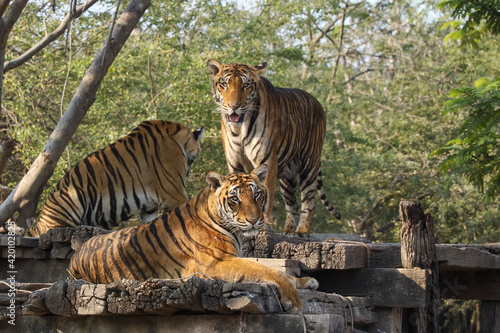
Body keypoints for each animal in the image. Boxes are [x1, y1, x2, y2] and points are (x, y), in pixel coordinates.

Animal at [68, 165, 318, 312]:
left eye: (257, 194)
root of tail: (77, 252)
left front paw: (306, 281)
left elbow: (276, 269)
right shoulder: (217, 262)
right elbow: (268, 271)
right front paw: (294, 299)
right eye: (235, 199)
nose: (255, 220)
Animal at [206, 60, 340, 236]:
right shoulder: (235, 163)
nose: (233, 106)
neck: (239, 128)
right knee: (292, 205)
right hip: (287, 178)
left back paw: (302, 230)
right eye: (224, 84)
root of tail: (317, 102)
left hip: (309, 166)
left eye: (245, 85)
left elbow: (266, 194)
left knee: (308, 202)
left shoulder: (267, 160)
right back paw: (288, 230)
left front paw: (264, 225)